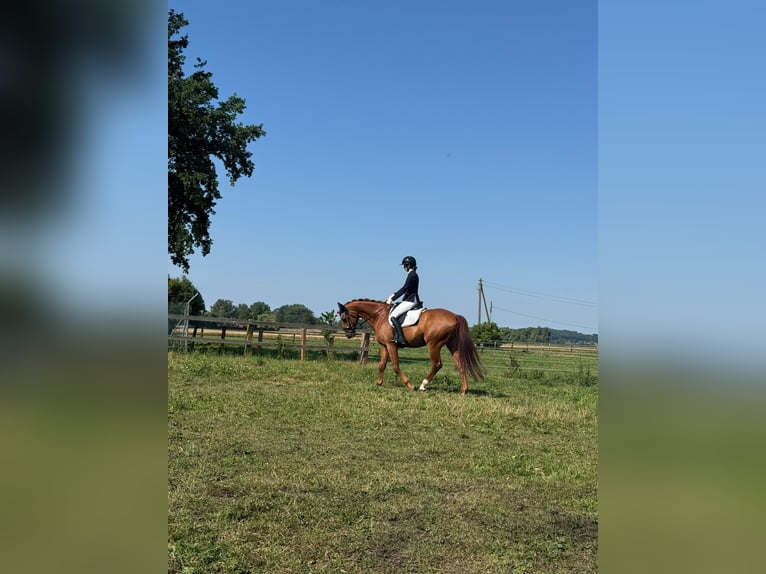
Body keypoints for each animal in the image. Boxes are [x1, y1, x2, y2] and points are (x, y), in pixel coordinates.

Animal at [337, 299, 486, 394]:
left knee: (437, 364)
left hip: (434, 345)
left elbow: (395, 366)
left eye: (344, 318)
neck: (380, 316)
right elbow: (382, 365)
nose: (349, 334)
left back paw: (422, 385)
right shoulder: (385, 346)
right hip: (452, 344)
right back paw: (464, 390)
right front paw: (378, 383)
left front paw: (410, 385)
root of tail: (455, 316)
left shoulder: (391, 345)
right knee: (460, 364)